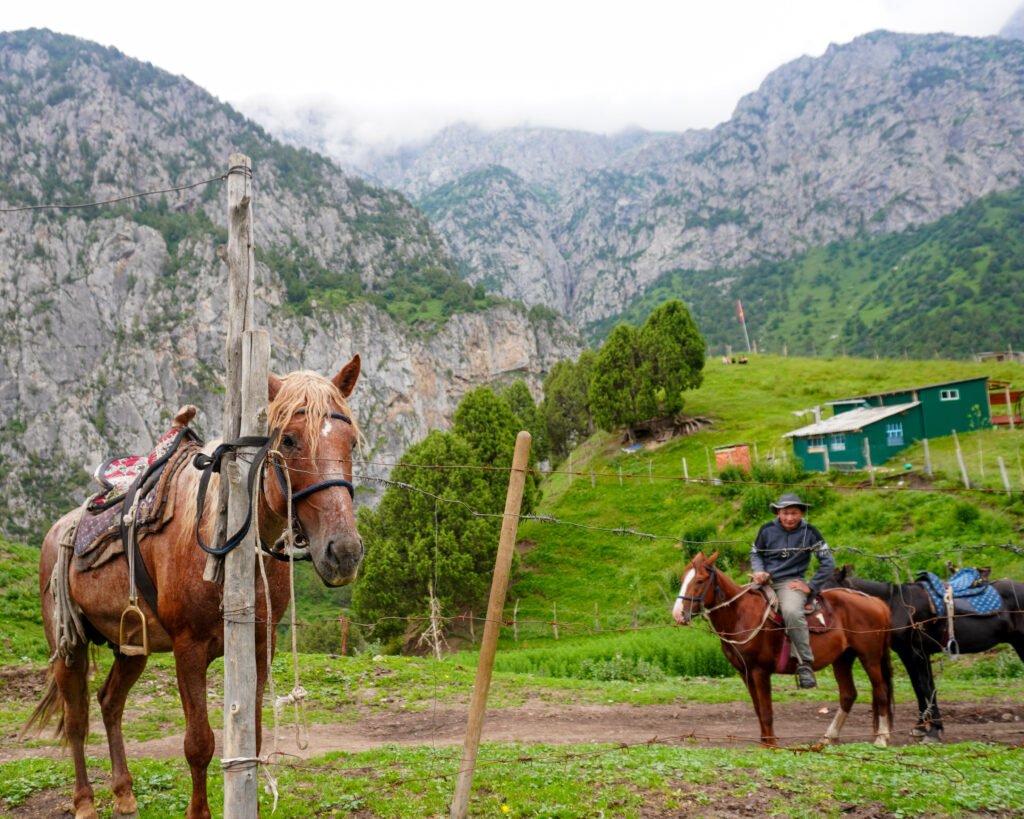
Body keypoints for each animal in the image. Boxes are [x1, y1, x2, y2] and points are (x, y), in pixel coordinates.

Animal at [23, 356, 364, 819]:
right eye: (290, 440)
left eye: (351, 443)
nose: (344, 551)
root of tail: (61, 527)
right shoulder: (189, 647)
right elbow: (199, 744)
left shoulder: (260, 644)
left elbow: (252, 739)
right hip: (68, 645)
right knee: (76, 719)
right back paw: (85, 803)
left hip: (132, 646)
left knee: (110, 703)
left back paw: (124, 794)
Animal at [672, 551, 894, 747]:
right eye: (683, 579)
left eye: (700, 580)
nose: (678, 614)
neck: (740, 614)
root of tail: (876, 602)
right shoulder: (745, 673)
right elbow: (758, 708)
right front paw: (764, 741)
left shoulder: (760, 671)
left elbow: (766, 711)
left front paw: (771, 744)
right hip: (843, 659)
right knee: (848, 695)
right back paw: (829, 738)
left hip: (870, 657)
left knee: (881, 691)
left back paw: (881, 738)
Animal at [830, 564, 1024, 742]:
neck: (896, 605)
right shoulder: (907, 654)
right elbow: (919, 686)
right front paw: (921, 727)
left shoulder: (918, 653)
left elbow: (926, 686)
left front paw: (934, 731)